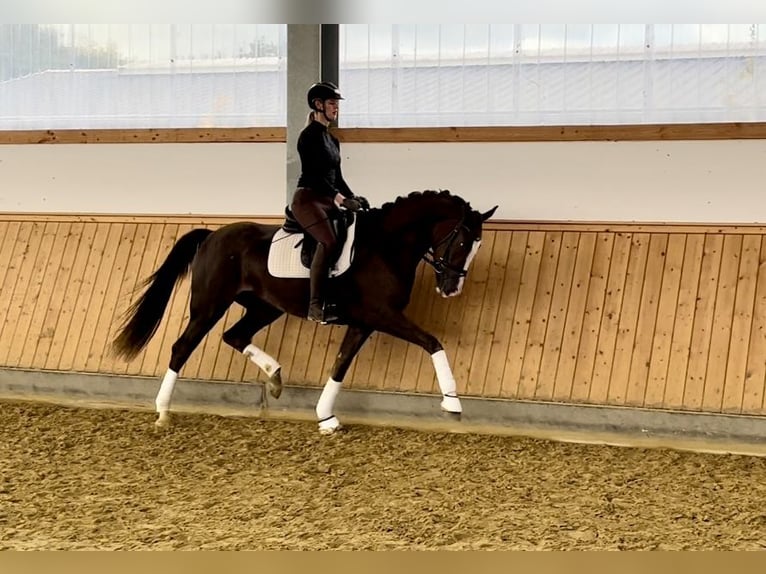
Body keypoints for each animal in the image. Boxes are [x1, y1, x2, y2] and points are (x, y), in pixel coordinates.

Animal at [111, 191, 500, 434]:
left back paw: (275, 376)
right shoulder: (382, 315)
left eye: (477, 245)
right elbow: (433, 342)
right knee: (182, 348)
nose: (451, 288)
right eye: (462, 241)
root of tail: (211, 237)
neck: (384, 247)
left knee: (235, 335)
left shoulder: (363, 323)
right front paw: (452, 402)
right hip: (209, 306)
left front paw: (325, 418)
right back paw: (163, 412)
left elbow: (340, 365)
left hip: (264, 307)